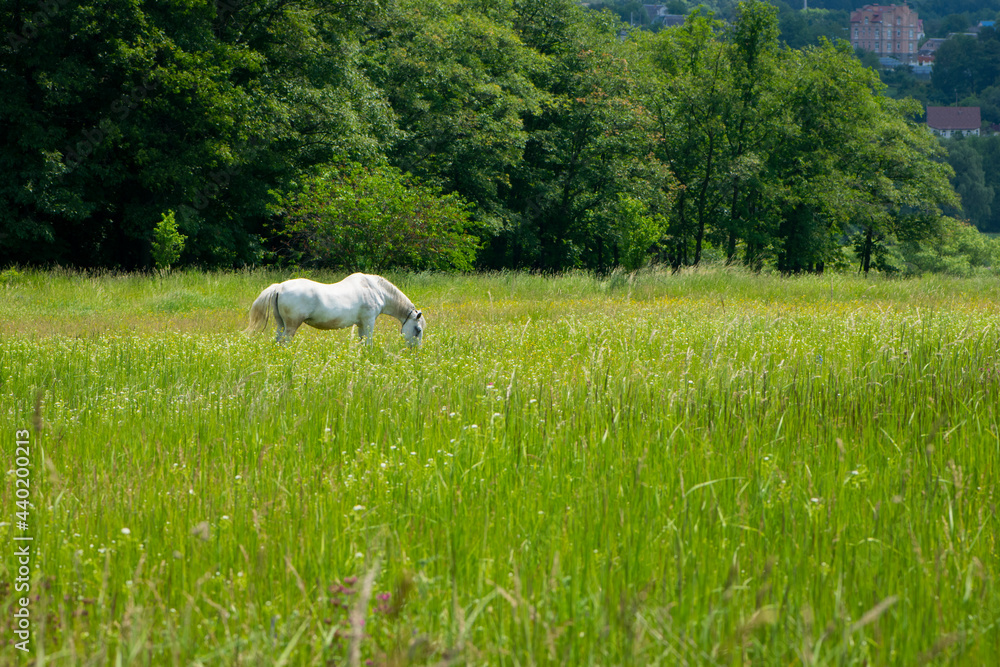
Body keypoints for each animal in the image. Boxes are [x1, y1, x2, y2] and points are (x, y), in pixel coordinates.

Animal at [245, 273, 425, 346]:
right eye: (418, 330)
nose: (414, 351)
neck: (376, 290)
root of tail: (279, 287)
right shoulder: (368, 322)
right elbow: (368, 343)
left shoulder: (361, 324)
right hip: (291, 326)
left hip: (280, 324)